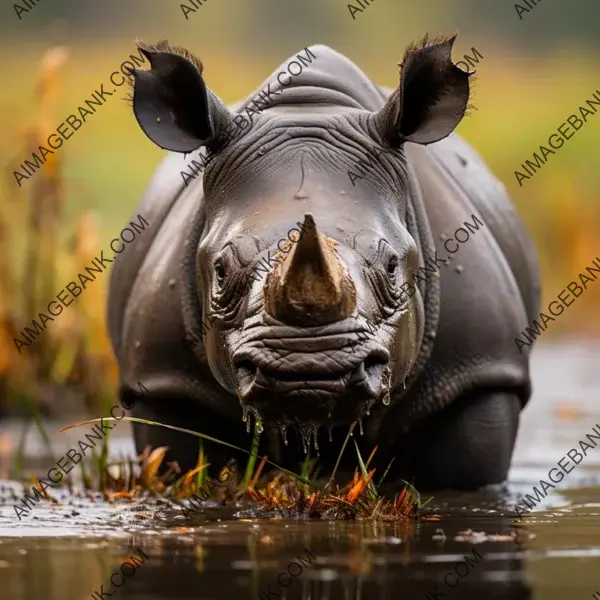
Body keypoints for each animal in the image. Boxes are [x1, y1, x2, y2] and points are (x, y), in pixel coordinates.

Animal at [105, 34, 540, 492]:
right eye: (221, 271)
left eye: (392, 267)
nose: (309, 367)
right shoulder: (166, 383)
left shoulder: (477, 372)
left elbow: (465, 476)